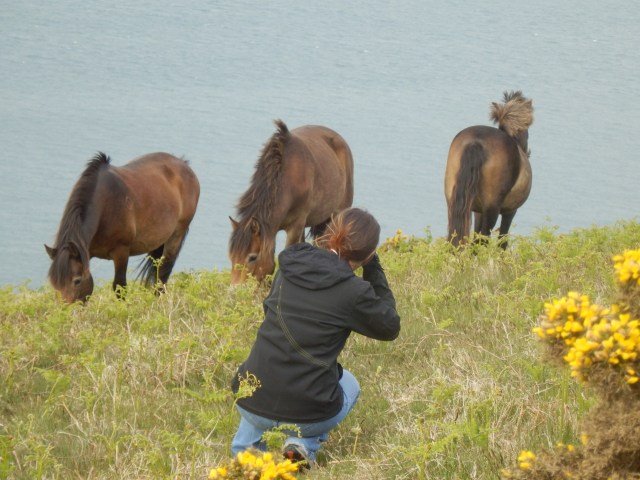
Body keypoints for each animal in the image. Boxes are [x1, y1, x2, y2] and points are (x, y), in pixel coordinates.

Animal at [45, 152, 200, 303]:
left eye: (77, 281)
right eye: (54, 283)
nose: (64, 309)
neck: (104, 207)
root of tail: (185, 165)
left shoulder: (121, 251)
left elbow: (120, 287)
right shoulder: (87, 253)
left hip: (176, 235)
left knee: (163, 274)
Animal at [229, 119, 354, 284]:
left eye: (252, 257)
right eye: (231, 257)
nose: (235, 289)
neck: (287, 182)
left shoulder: (295, 226)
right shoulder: (273, 230)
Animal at [444, 90, 534, 249]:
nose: (527, 151)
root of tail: (476, 142)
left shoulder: (477, 212)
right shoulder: (510, 211)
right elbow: (502, 241)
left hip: (452, 200)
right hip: (492, 208)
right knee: (485, 238)